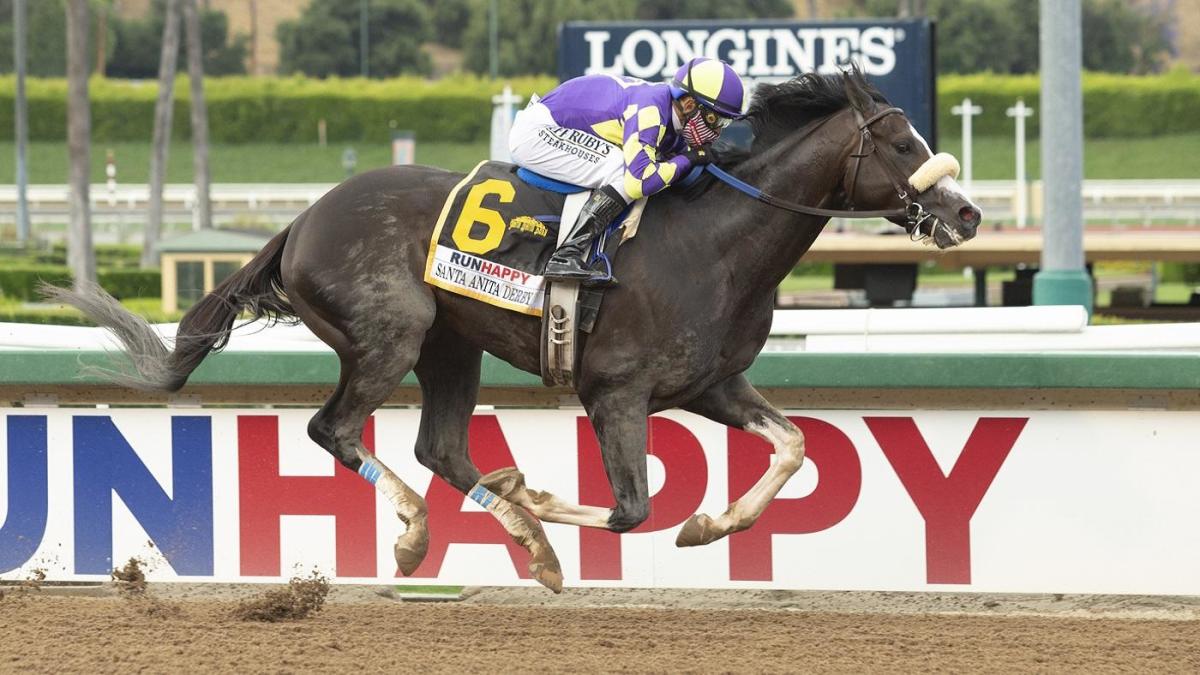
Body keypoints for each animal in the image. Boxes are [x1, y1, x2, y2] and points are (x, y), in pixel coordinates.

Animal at [49, 70, 984, 590]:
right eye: (902, 143)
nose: (968, 212)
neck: (715, 242)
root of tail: (302, 219)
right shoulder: (618, 392)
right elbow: (631, 508)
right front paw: (540, 494)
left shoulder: (713, 383)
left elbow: (792, 447)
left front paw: (708, 526)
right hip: (390, 335)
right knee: (335, 429)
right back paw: (422, 533)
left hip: (450, 347)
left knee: (439, 447)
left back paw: (528, 545)